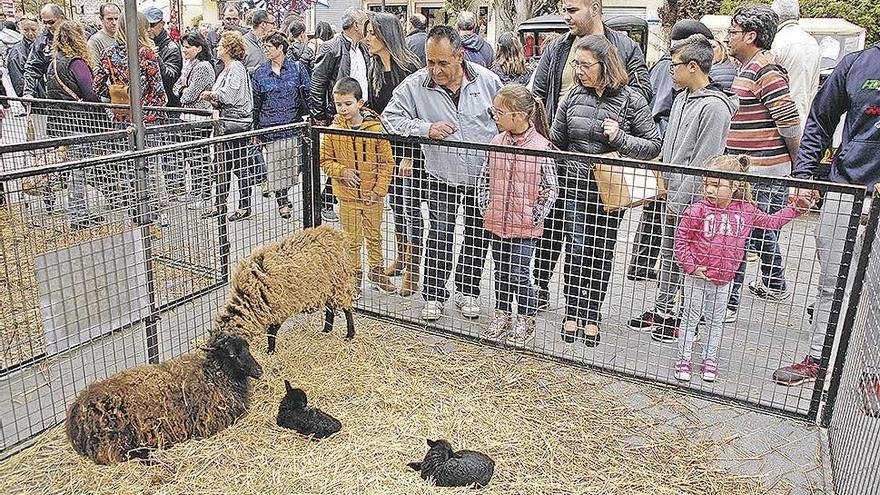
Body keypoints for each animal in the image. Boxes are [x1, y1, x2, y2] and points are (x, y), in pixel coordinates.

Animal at [65, 334, 262, 464]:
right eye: (232, 354)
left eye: (247, 348)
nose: (259, 370)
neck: (211, 374)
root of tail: (75, 411)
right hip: (114, 436)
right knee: (116, 455)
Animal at [213, 227, 358, 354]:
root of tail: (335, 234)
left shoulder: (280, 308)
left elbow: (272, 331)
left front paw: (270, 350)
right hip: (326, 286)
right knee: (330, 307)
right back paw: (326, 330)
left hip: (339, 282)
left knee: (347, 308)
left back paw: (350, 335)